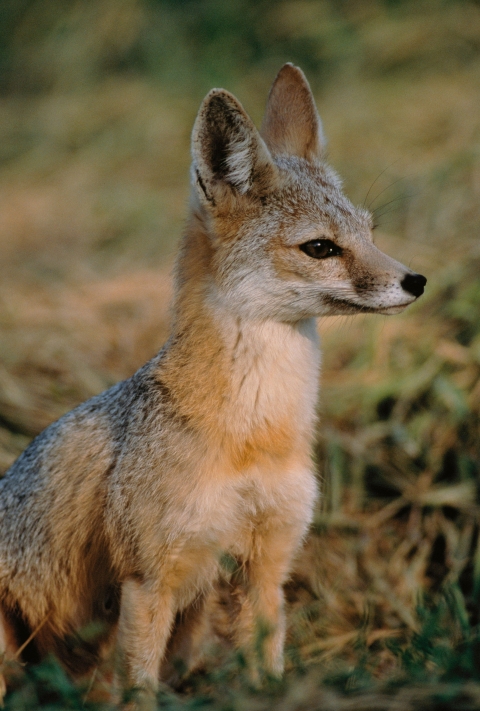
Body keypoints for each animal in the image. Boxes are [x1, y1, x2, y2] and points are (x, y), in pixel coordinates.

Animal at [0, 63, 426, 701]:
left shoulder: (267, 566)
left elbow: (267, 668)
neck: (254, 433)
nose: (416, 280)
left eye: (371, 232)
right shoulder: (150, 577)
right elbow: (139, 692)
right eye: (321, 248)